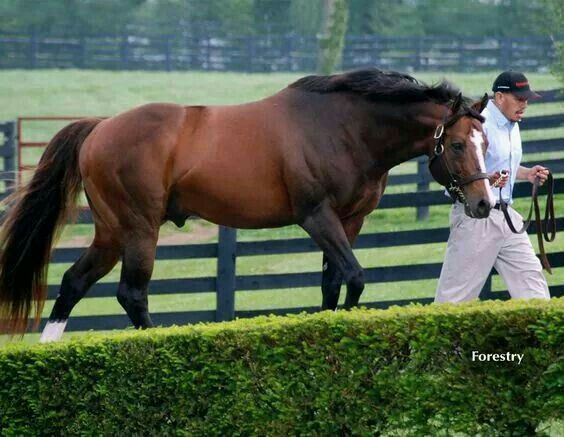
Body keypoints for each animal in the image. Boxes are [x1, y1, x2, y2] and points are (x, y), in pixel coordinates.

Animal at [0, 69, 494, 340]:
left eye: (485, 142)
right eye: (455, 145)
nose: (484, 204)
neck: (342, 127)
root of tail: (99, 128)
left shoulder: (349, 221)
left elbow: (333, 284)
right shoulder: (317, 217)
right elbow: (354, 278)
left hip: (110, 232)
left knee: (73, 283)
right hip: (140, 228)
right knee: (131, 294)